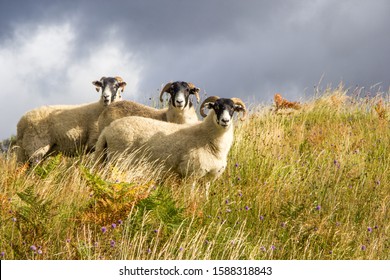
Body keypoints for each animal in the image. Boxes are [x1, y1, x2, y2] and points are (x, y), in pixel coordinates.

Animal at [95, 95, 247, 182]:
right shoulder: (191, 174)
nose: (225, 121)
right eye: (216, 107)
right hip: (119, 161)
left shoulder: (209, 177)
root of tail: (107, 130)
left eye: (233, 108)